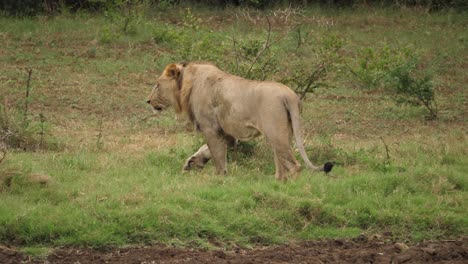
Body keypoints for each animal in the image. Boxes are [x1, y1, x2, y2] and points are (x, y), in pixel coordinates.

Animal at [147, 62, 332, 182]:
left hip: (275, 133)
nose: (147, 101)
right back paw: (277, 183)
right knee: (282, 165)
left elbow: (217, 155)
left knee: (294, 165)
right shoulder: (226, 132)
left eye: (157, 85)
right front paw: (192, 163)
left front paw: (220, 178)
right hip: (283, 133)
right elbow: (207, 149)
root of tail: (291, 96)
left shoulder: (210, 128)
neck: (186, 84)